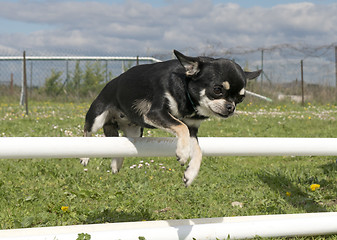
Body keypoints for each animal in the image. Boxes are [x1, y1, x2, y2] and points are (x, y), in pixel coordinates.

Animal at [80, 50, 260, 186]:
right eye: (217, 90)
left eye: (240, 99)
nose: (231, 108)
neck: (186, 89)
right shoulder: (155, 113)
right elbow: (181, 126)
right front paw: (183, 153)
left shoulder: (192, 129)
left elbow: (198, 149)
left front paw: (190, 174)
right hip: (97, 117)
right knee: (87, 132)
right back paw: (85, 156)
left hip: (134, 131)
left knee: (119, 142)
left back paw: (116, 162)